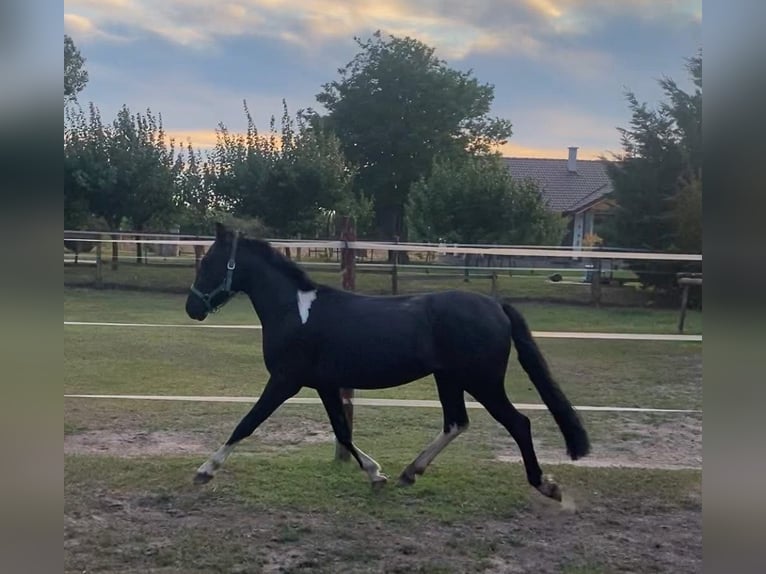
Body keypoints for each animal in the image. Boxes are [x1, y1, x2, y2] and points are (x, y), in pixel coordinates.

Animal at [185, 223, 590, 501]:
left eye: (209, 262)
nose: (192, 308)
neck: (296, 312)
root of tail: (495, 305)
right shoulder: (325, 384)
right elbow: (342, 432)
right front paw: (376, 474)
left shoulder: (286, 381)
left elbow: (247, 423)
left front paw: (205, 470)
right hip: (449, 379)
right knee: (456, 422)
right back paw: (410, 472)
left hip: (483, 382)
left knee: (518, 423)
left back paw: (545, 485)